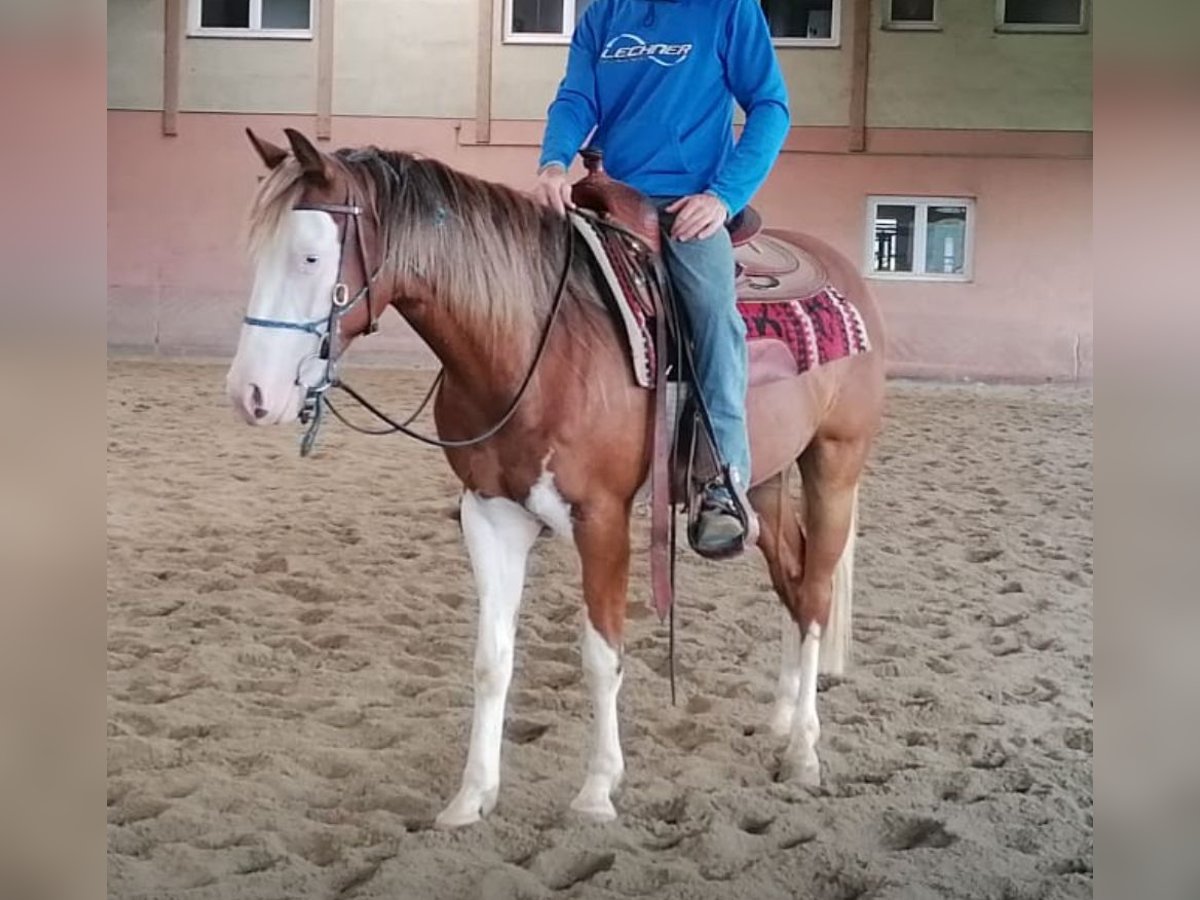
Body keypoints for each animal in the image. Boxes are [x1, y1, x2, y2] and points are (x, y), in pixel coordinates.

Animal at [226, 128, 885, 828]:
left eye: (311, 257)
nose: (250, 394)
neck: (530, 344)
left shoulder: (602, 519)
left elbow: (602, 655)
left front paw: (597, 791)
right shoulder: (490, 513)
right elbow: (492, 660)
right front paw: (471, 797)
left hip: (834, 463)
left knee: (814, 595)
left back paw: (805, 753)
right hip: (758, 483)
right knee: (790, 580)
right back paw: (783, 721)